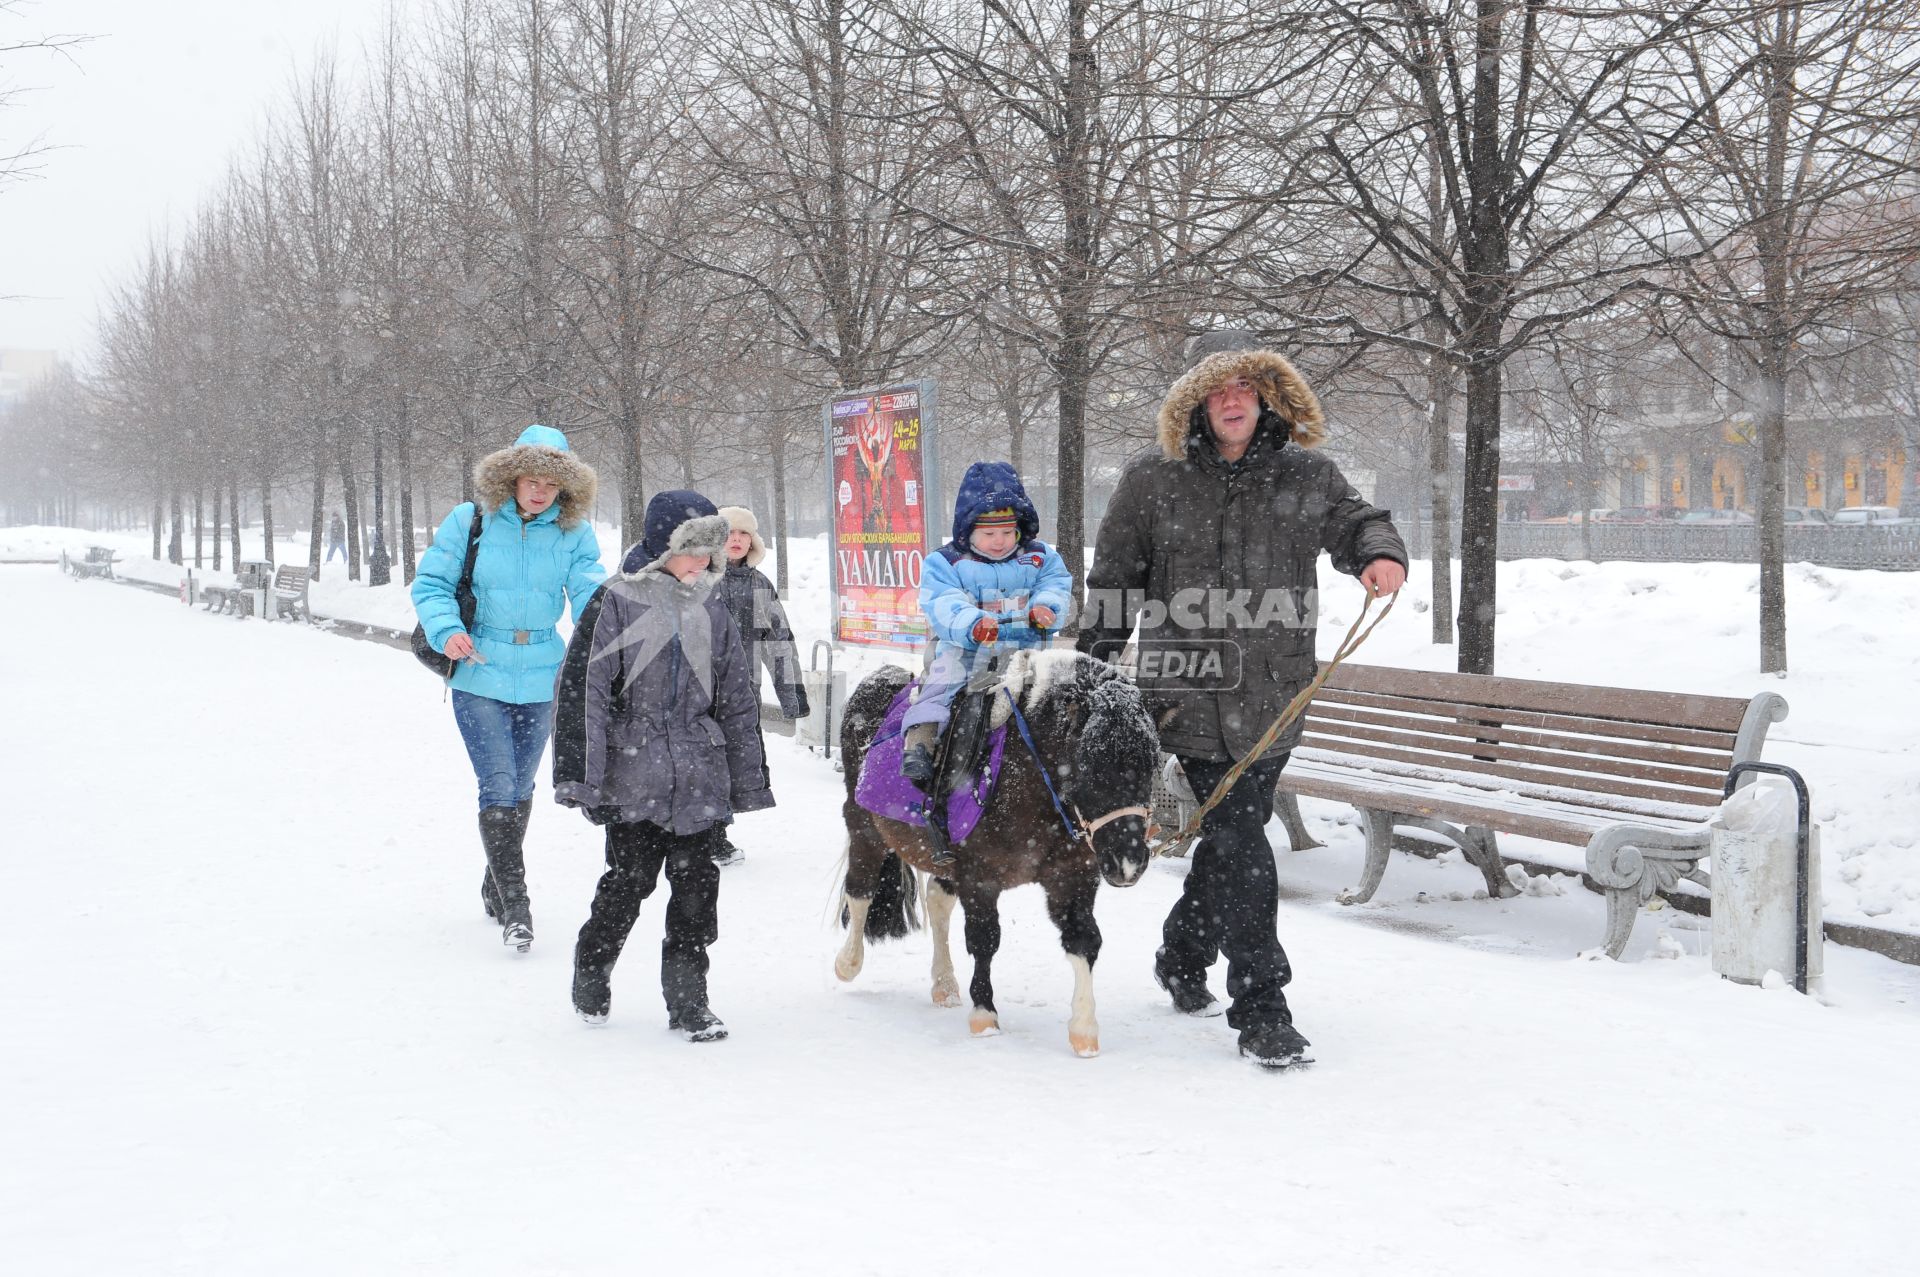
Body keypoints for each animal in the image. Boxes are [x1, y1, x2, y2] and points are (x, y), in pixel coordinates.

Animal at [837, 649, 1152, 1052]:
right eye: (1090, 766)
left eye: (1151, 764)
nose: (1128, 863)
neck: (1032, 775)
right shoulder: (980, 876)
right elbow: (985, 939)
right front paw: (984, 1015)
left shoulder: (1072, 876)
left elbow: (1084, 939)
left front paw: (1084, 1028)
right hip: (863, 824)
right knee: (860, 891)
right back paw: (848, 962)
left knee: (938, 901)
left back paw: (944, 983)